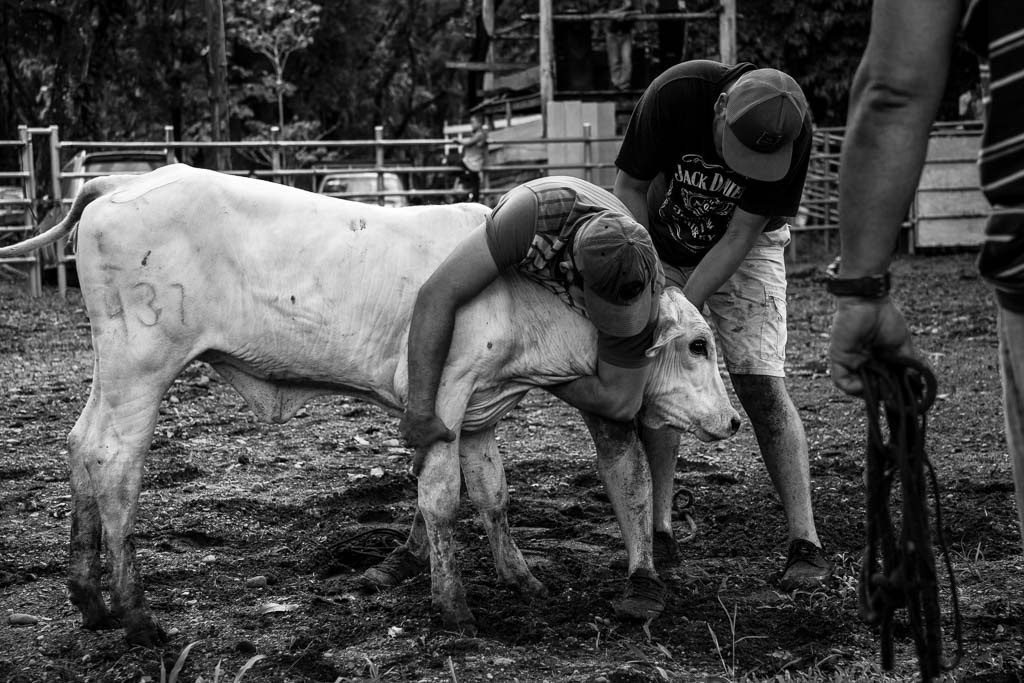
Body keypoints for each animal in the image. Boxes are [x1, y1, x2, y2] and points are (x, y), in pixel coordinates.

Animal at [0, 164, 740, 645]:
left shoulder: (480, 412)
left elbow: (493, 494)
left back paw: (89, 597)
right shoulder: (446, 396)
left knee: (80, 444)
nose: (732, 419)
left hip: (116, 369)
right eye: (697, 344)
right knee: (113, 460)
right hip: (143, 364)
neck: (531, 293)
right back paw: (136, 612)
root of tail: (120, 182)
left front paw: (522, 578)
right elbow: (440, 500)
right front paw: (455, 606)